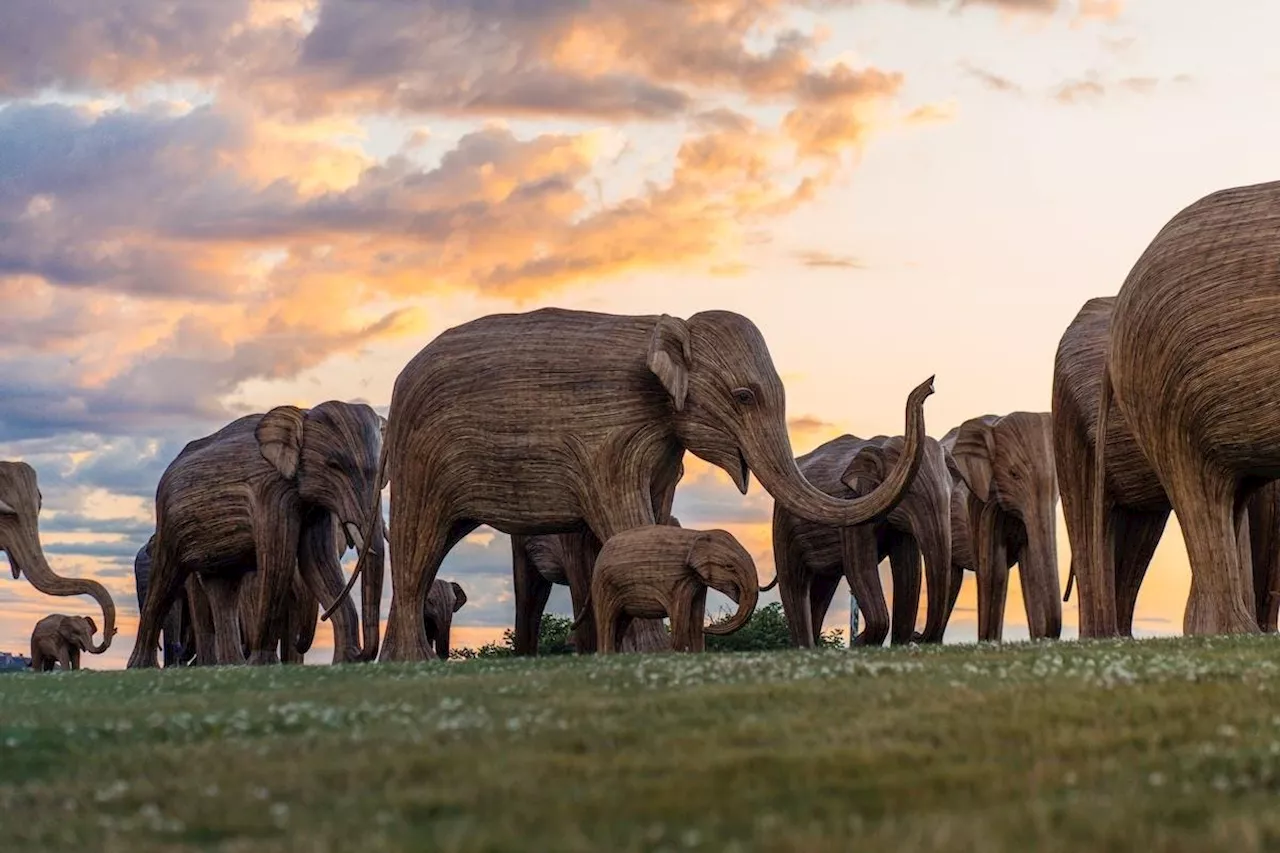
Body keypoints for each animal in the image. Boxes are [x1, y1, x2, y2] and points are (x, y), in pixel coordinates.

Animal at [583, 525, 757, 650]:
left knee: (620, 623)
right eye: (729, 567)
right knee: (607, 620)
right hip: (604, 585)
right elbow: (680, 615)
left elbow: (696, 614)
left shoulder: (696, 582)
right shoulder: (677, 579)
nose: (709, 626)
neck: (698, 534)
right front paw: (673, 653)